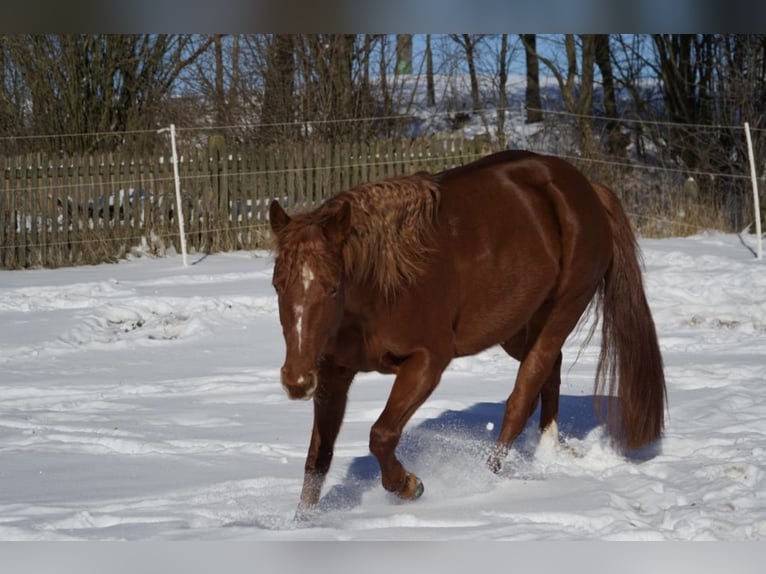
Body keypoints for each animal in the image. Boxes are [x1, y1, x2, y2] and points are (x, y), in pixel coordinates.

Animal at [268, 150, 666, 514]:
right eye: (277, 285)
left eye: (333, 287)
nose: (296, 381)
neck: (382, 287)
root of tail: (586, 189)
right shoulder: (333, 374)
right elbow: (318, 457)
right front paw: (303, 524)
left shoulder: (427, 361)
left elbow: (381, 435)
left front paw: (410, 485)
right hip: (516, 326)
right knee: (550, 371)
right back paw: (548, 449)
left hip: (562, 310)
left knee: (522, 396)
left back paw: (485, 480)